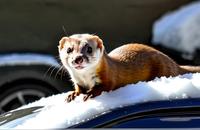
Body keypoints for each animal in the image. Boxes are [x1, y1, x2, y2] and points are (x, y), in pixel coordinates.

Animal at [57, 33, 200, 102]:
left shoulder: (108, 77)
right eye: (69, 49)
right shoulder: (78, 82)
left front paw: (90, 94)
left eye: (89, 49)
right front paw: (72, 95)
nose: (78, 58)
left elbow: (105, 87)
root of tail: (174, 63)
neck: (85, 79)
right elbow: (78, 89)